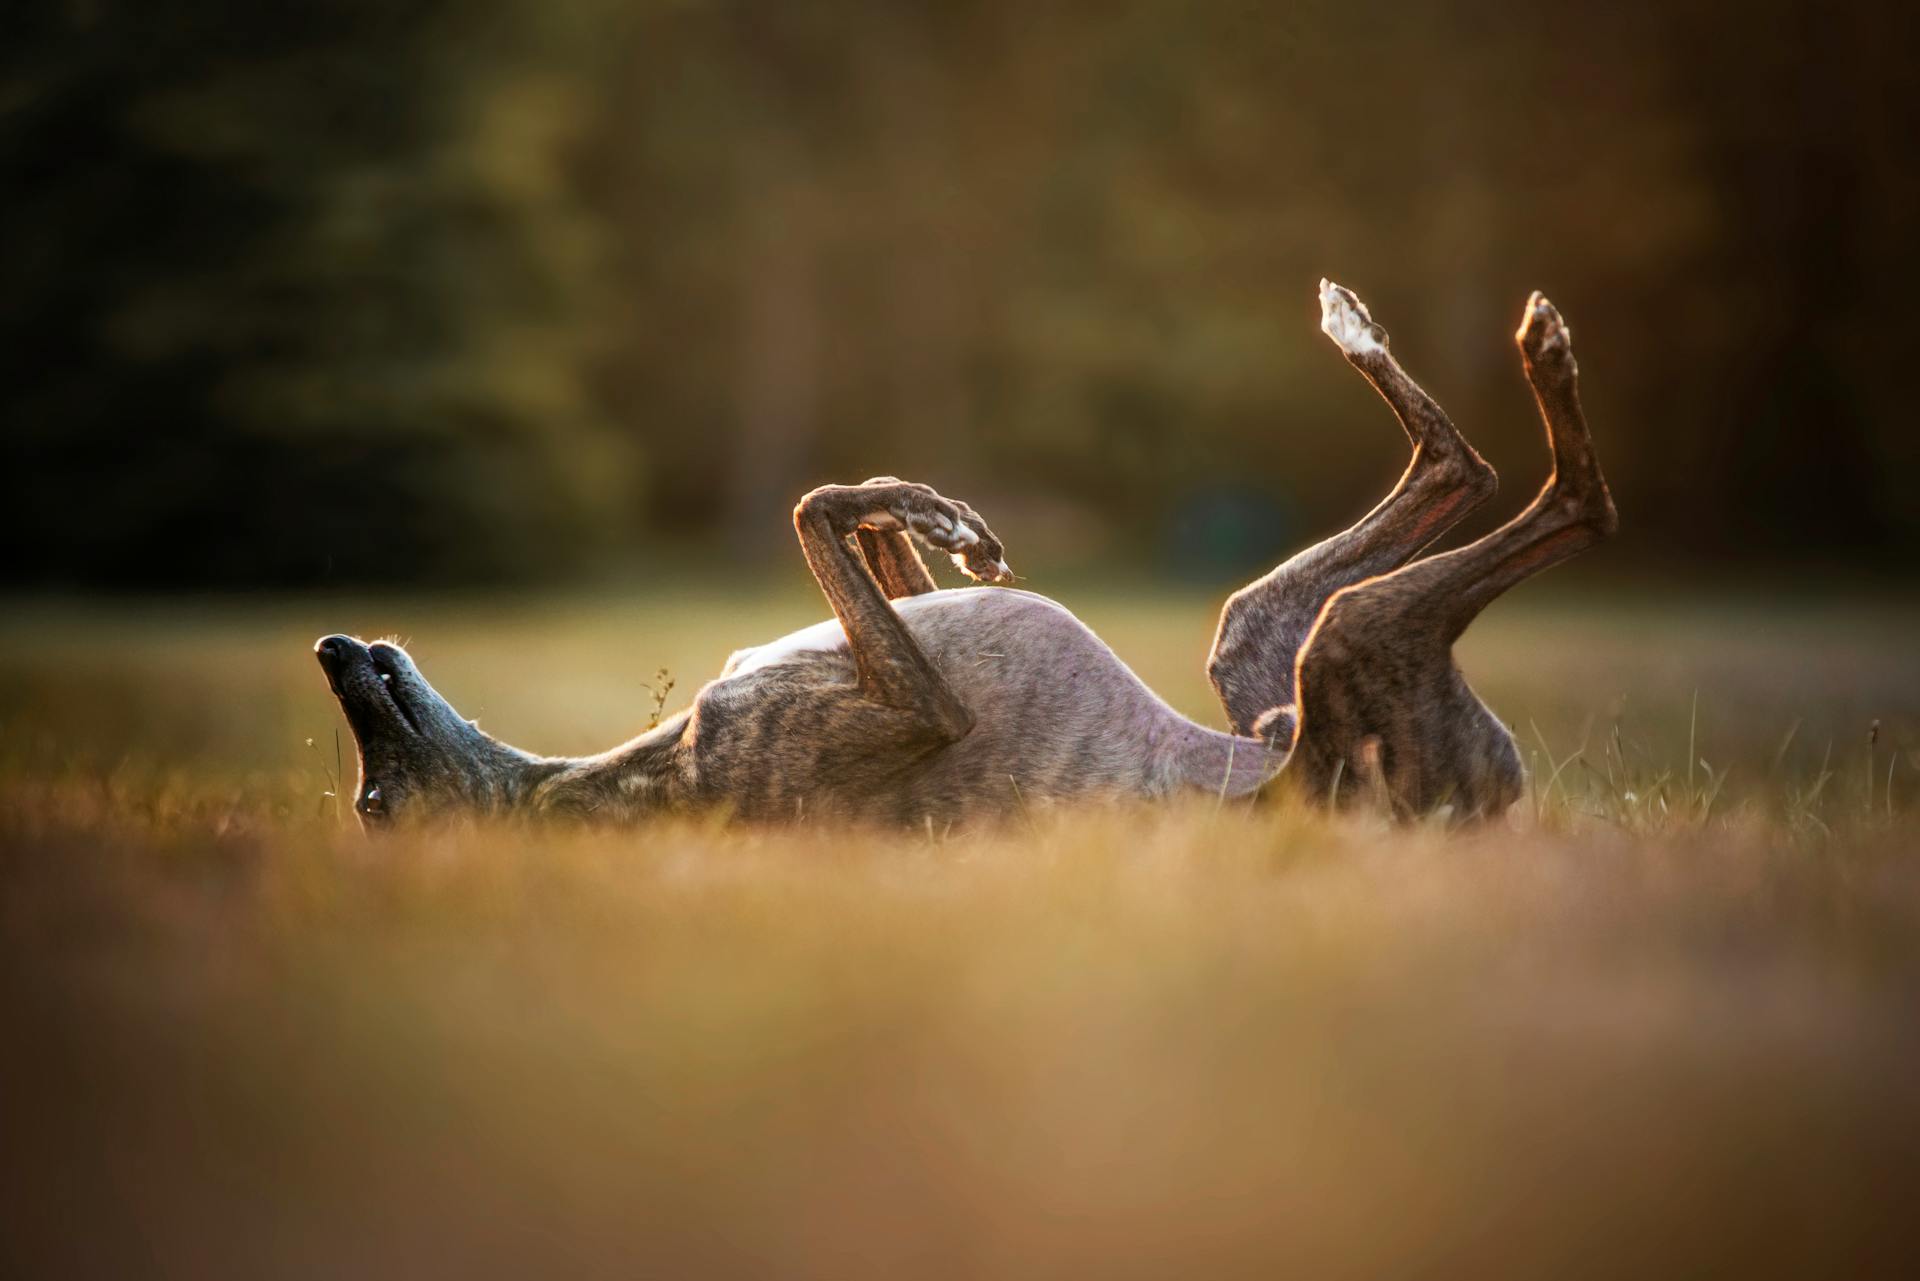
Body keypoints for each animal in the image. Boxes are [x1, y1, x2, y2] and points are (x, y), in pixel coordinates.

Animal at [318, 282, 1620, 825]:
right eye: (378, 804)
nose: (332, 647)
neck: (615, 782)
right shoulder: (901, 714)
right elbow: (815, 506)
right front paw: (926, 511)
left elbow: (864, 541)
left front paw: (923, 518)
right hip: (1348, 654)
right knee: (1561, 500)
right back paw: (1542, 356)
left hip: (1259, 664)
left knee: (1451, 475)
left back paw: (1374, 336)